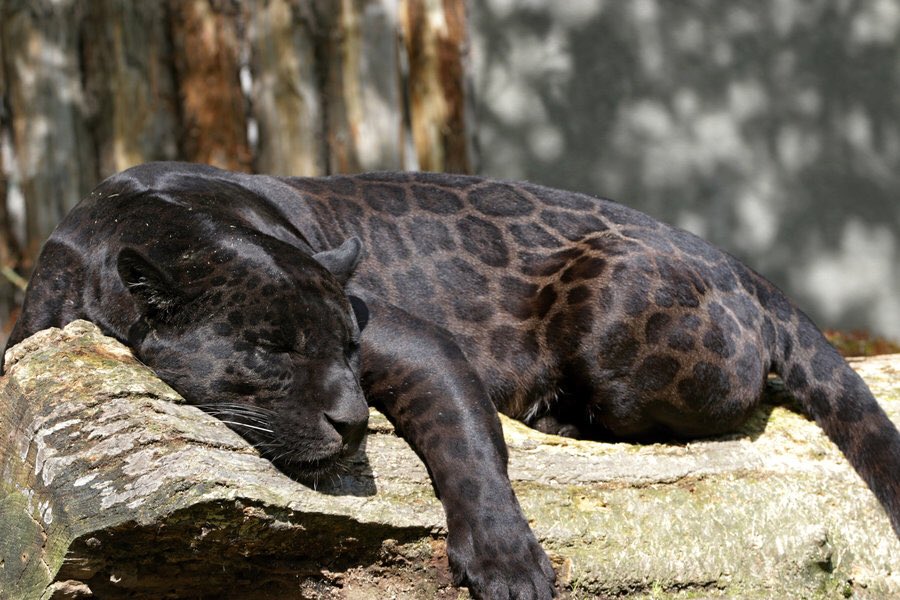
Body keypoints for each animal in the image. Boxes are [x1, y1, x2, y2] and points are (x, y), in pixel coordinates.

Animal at [3, 161, 899, 600]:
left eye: (345, 348)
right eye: (271, 351)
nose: (353, 421)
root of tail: (739, 264)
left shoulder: (411, 340)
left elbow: (467, 442)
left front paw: (505, 562)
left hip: (615, 307)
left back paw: (556, 413)